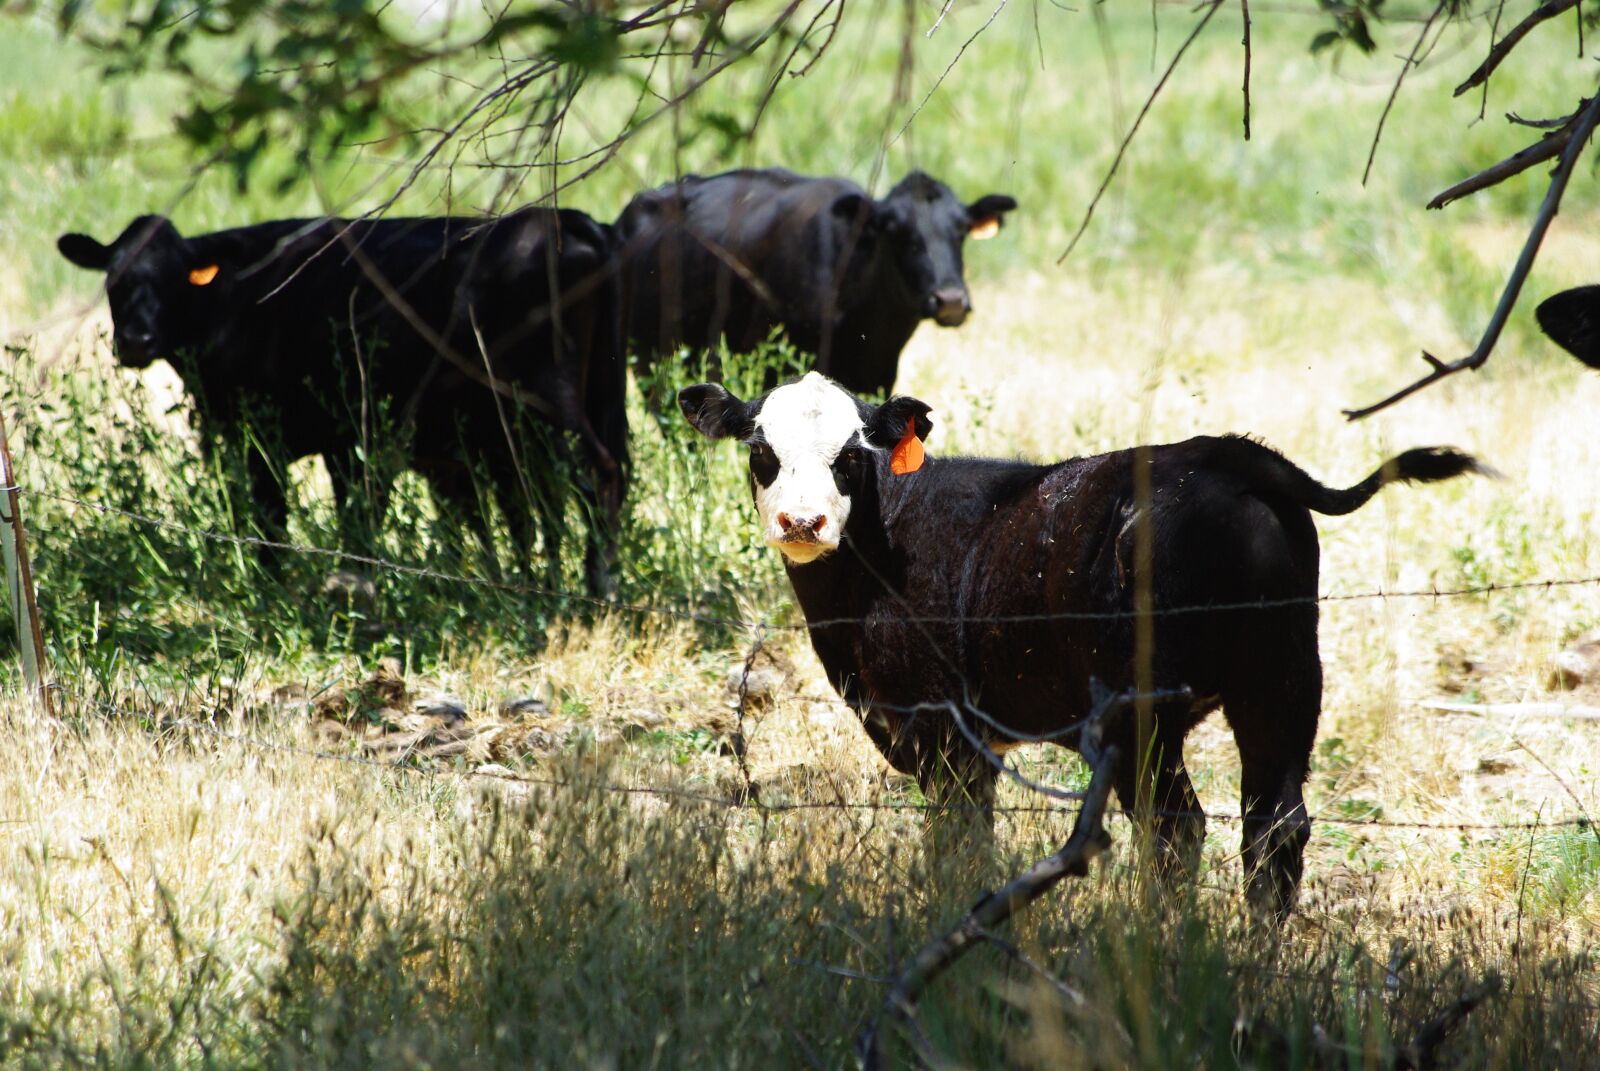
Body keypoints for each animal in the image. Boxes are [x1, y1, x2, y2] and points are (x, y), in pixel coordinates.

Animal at [54, 208, 624, 592]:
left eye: (174, 278)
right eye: (114, 279)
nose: (136, 340)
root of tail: (560, 217)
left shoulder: (262, 437)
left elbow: (273, 519)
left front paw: (273, 590)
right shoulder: (341, 441)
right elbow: (352, 516)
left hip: (546, 403)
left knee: (586, 478)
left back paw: (589, 592)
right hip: (585, 396)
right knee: (581, 484)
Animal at [678, 371, 1484, 915]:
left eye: (851, 454)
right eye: (761, 449)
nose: (803, 522)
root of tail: (1226, 455)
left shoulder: (944, 732)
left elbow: (957, 841)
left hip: (1144, 714)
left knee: (1175, 829)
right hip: (1282, 678)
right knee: (1274, 829)